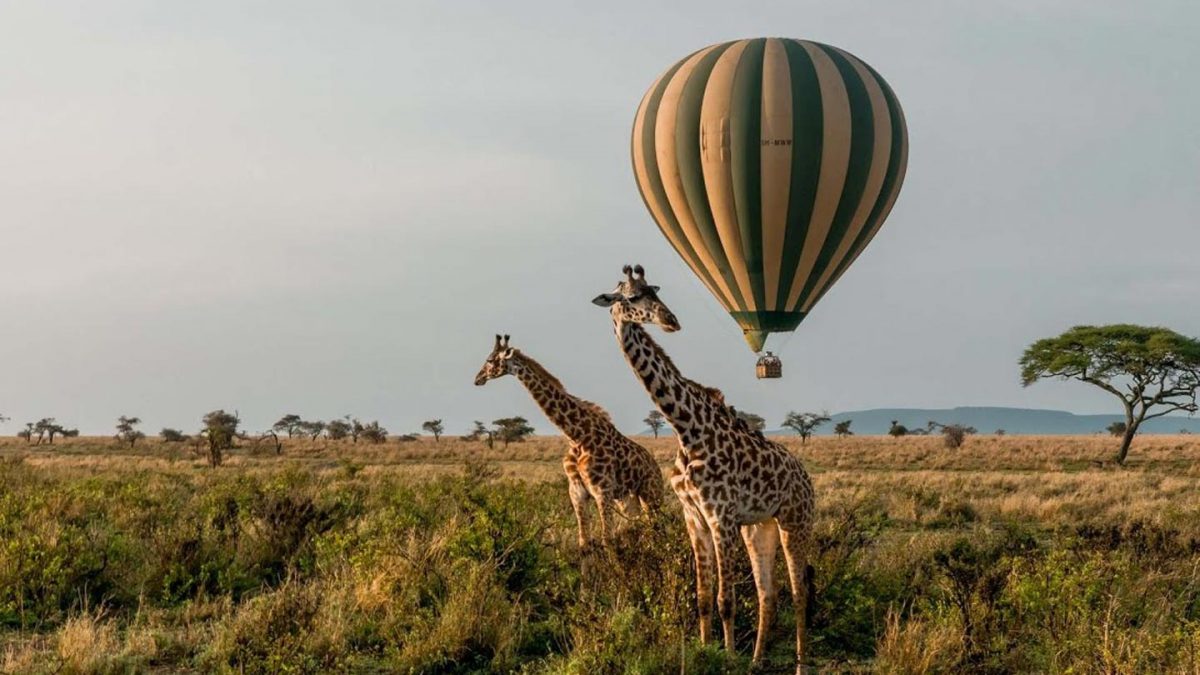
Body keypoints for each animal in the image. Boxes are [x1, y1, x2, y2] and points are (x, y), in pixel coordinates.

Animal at [475, 333, 667, 542]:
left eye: (490, 360)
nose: (478, 378)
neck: (576, 436)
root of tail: (656, 467)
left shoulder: (602, 491)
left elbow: (607, 539)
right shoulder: (577, 493)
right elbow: (584, 541)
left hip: (651, 495)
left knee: (657, 529)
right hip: (628, 500)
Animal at [590, 263, 816, 667]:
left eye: (654, 291)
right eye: (631, 296)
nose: (671, 320)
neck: (685, 426)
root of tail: (806, 478)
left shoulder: (720, 516)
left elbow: (726, 600)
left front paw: (727, 658)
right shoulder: (693, 517)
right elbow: (703, 598)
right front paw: (707, 648)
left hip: (795, 521)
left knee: (799, 592)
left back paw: (800, 666)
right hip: (759, 527)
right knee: (768, 594)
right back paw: (756, 662)